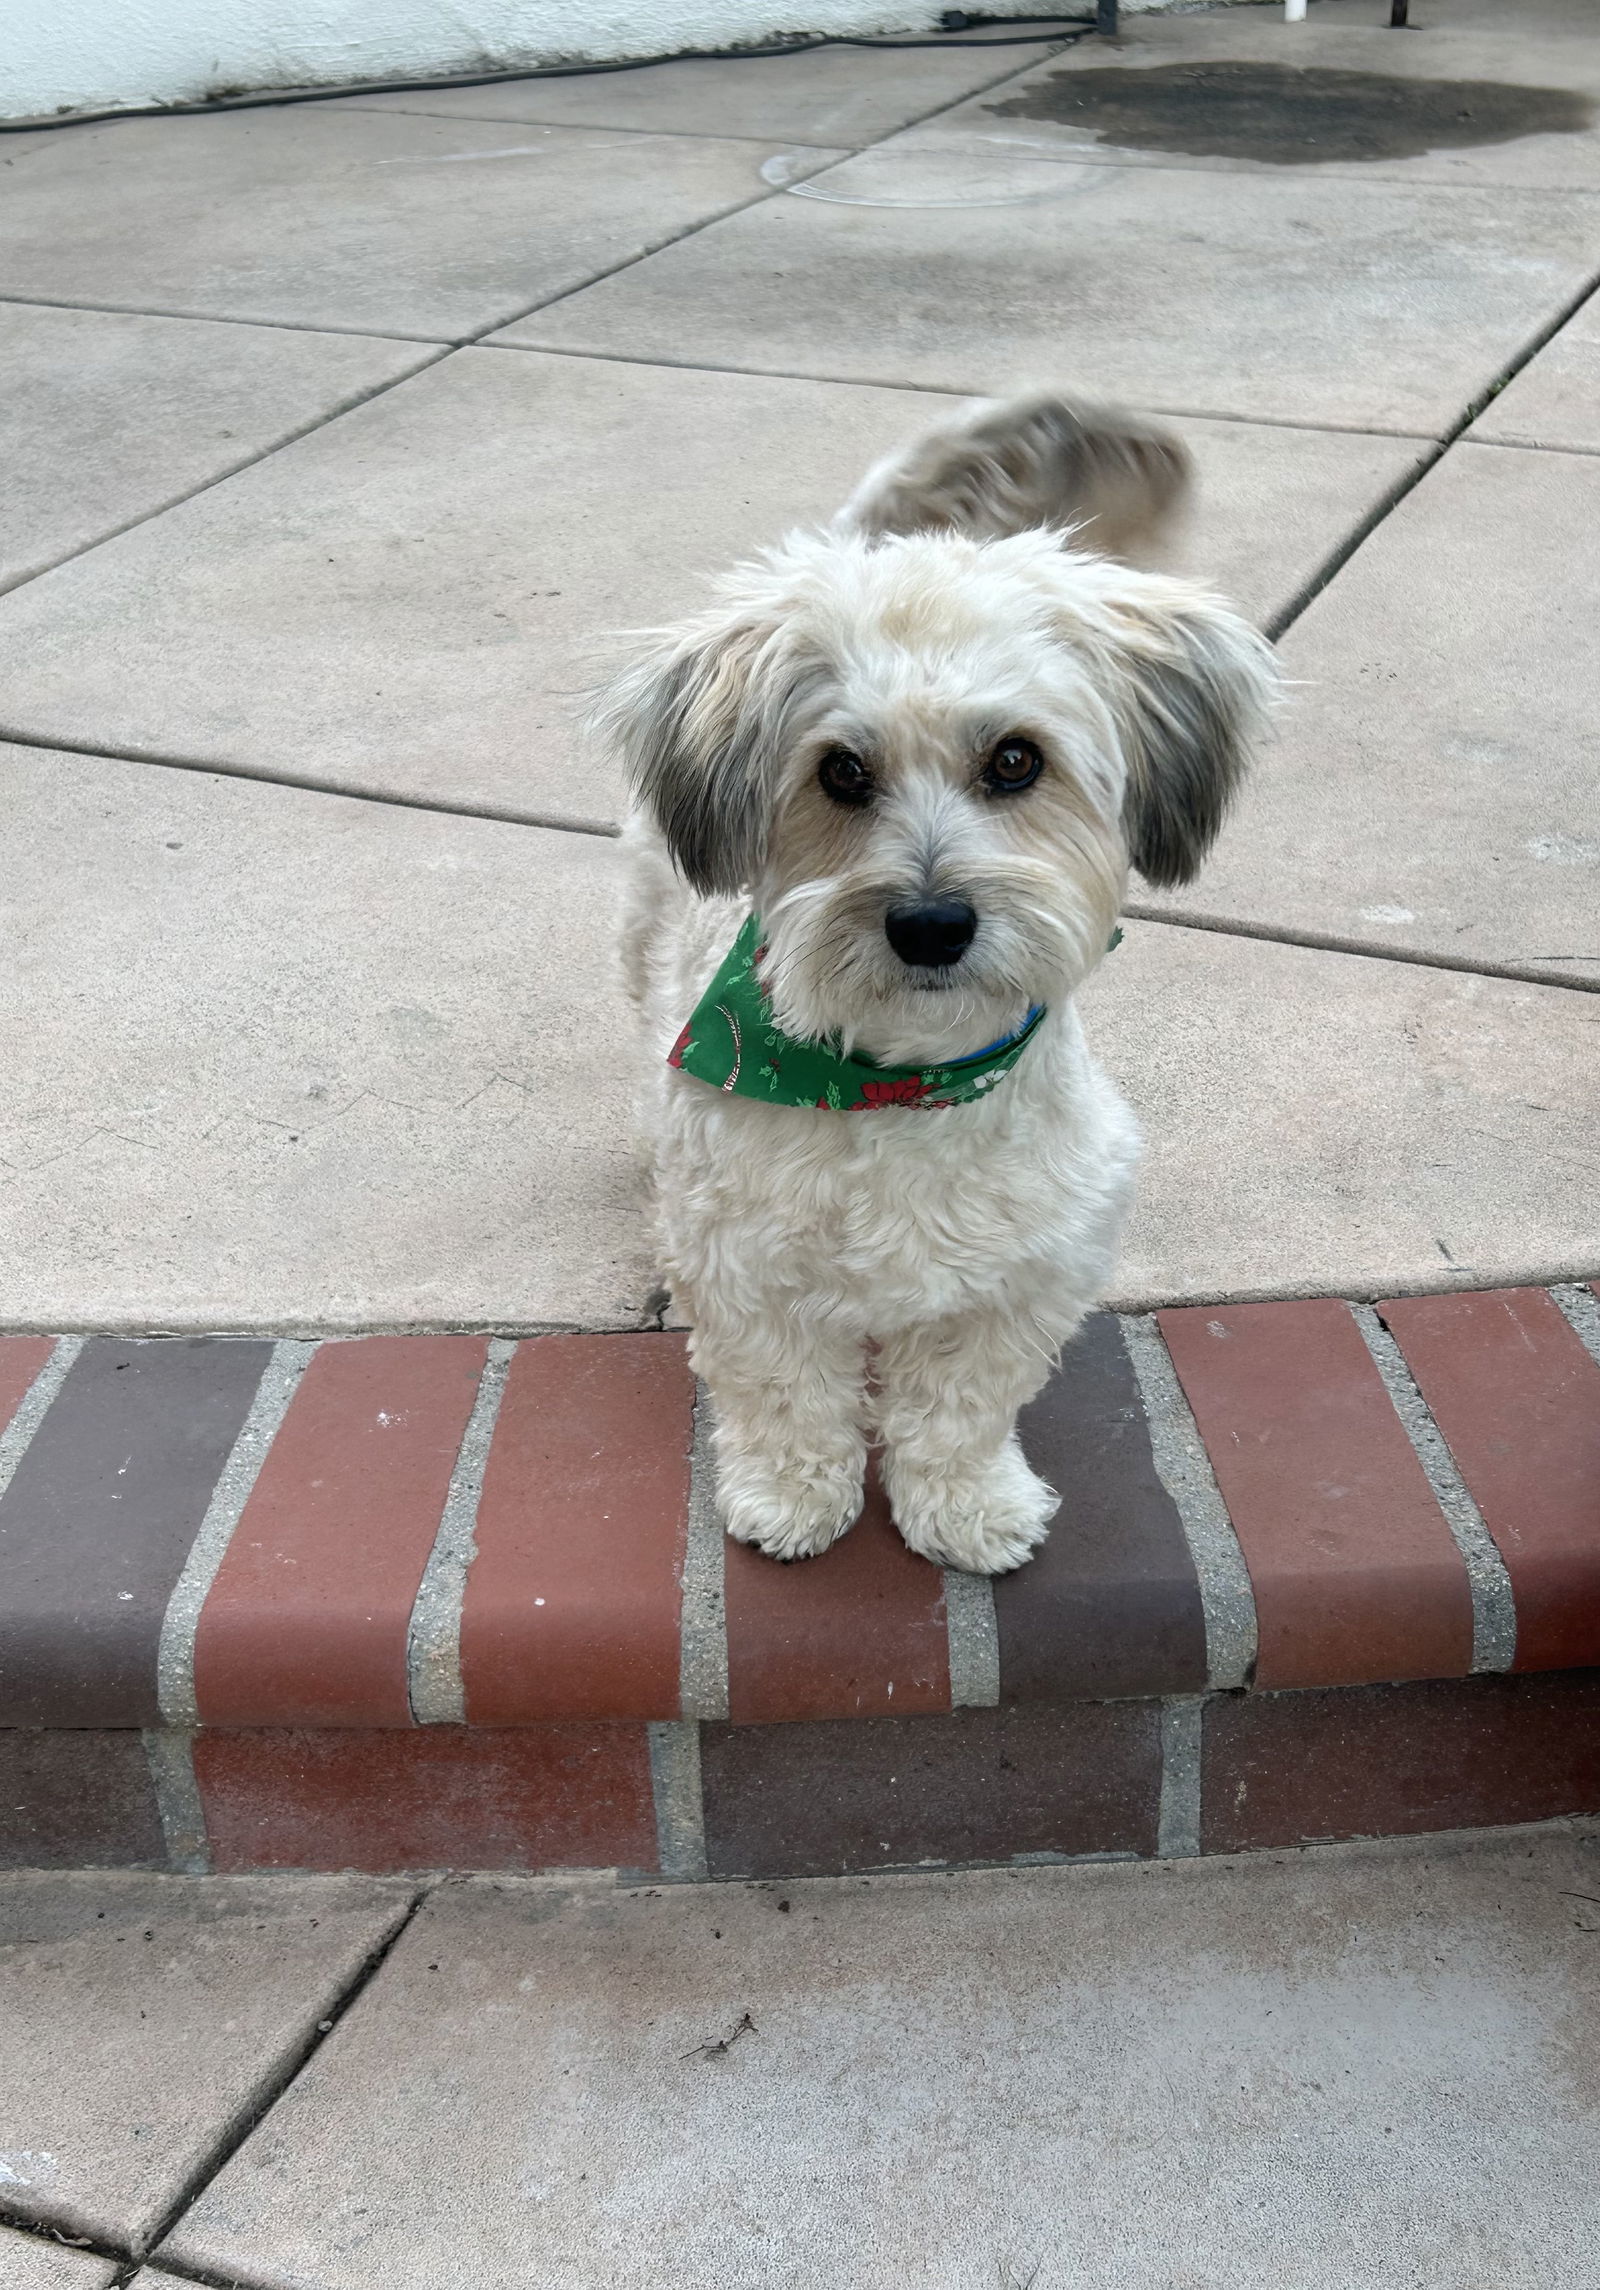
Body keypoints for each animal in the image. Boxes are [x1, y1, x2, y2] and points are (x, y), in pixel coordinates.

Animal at [599, 393, 1272, 1575]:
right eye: (840, 771)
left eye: (1015, 760)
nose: (930, 924)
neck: (897, 1086)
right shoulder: (743, 1264)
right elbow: (784, 1392)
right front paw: (790, 1495)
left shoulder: (1029, 1268)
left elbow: (962, 1405)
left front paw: (965, 1506)